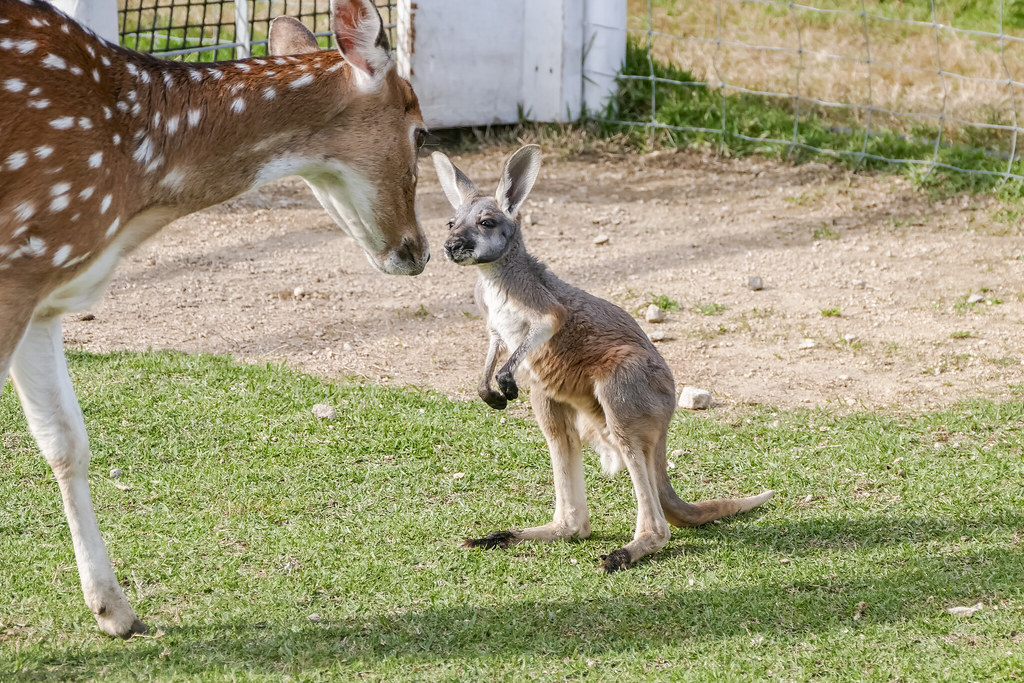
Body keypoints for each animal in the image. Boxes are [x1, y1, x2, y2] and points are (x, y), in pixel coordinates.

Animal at [0, 0, 432, 638]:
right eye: (422, 133)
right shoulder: (21, 261)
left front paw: (115, 611)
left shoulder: (45, 283)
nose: (420, 250)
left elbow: (65, 441)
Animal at [432, 147, 774, 573]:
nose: (450, 246)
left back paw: (625, 553)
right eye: (450, 222)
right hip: (548, 398)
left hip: (622, 386)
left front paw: (502, 381)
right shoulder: (493, 324)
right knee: (574, 519)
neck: (496, 275)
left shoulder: (546, 310)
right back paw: (503, 536)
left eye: (486, 223)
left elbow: (540, 329)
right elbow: (494, 346)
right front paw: (488, 391)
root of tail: (664, 420)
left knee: (653, 517)